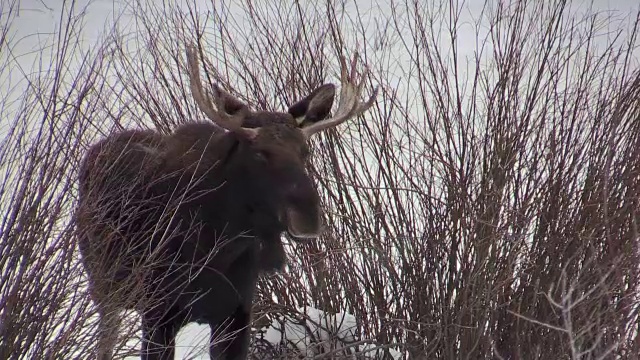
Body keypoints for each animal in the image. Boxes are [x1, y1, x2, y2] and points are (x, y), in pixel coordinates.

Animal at [74, 45, 378, 360]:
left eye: (305, 151)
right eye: (258, 153)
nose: (307, 216)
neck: (220, 243)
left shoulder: (237, 315)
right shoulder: (157, 311)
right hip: (104, 289)